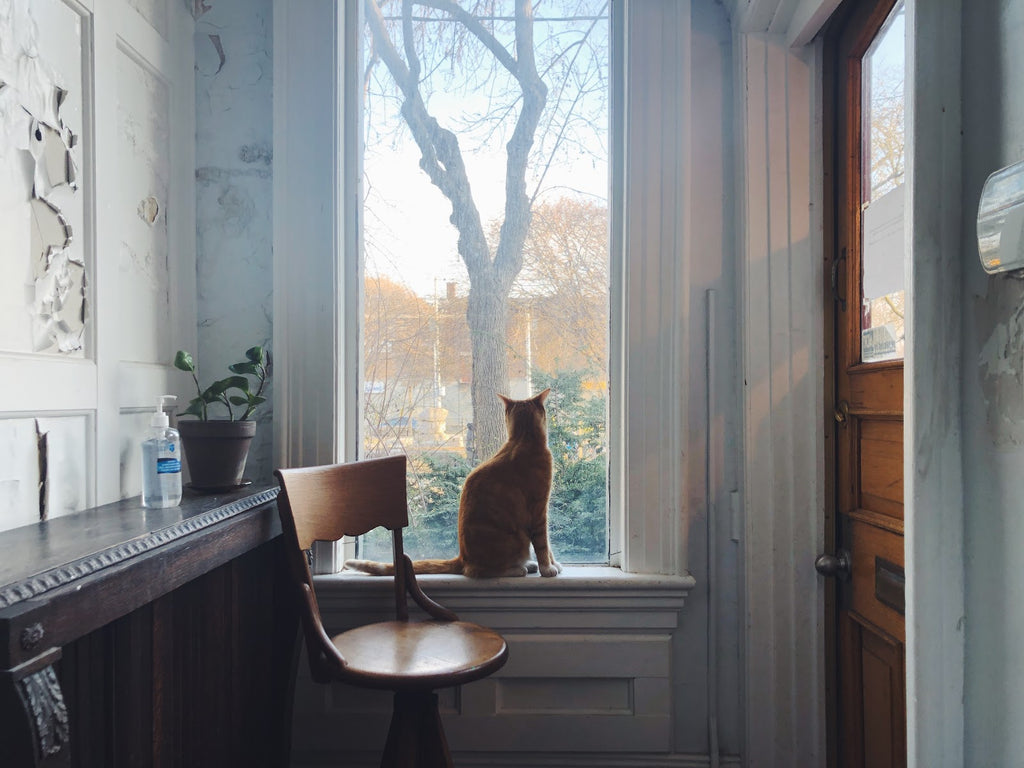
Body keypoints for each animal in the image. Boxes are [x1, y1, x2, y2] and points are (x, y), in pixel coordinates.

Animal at [348, 391, 565, 577]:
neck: (522, 439)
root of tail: (462, 558)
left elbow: (548, 544)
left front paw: (553, 564)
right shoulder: (539, 510)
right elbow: (544, 544)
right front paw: (548, 568)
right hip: (515, 541)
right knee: (478, 571)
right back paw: (519, 569)